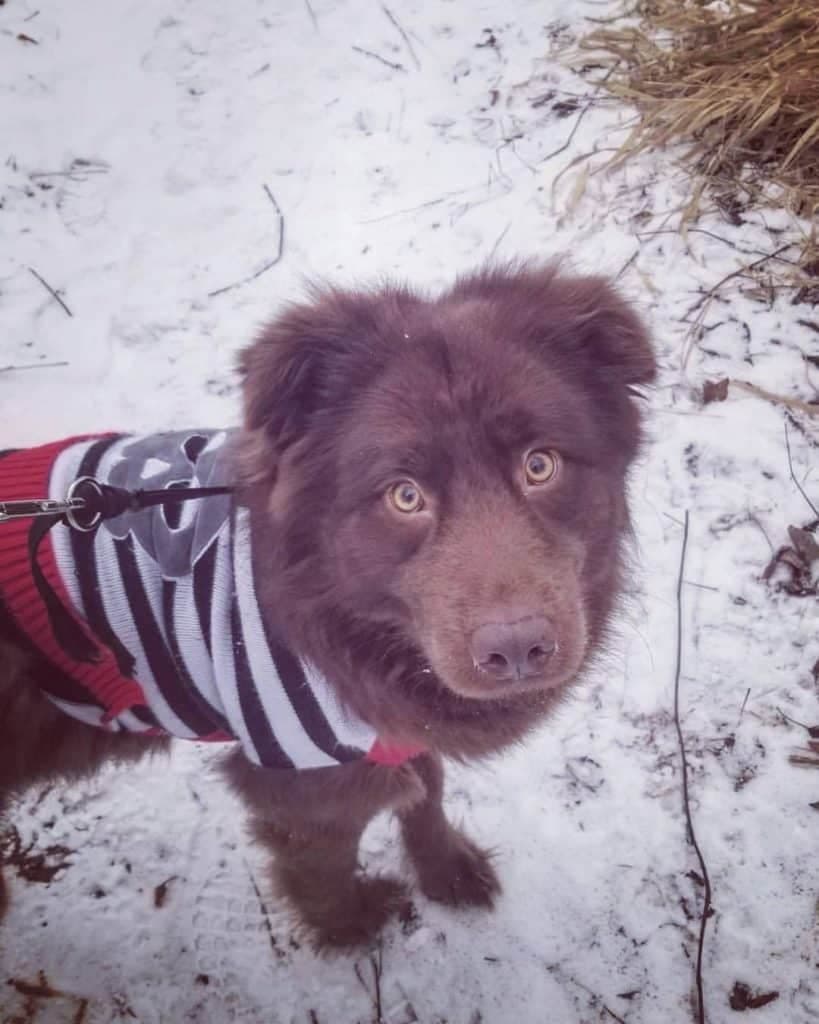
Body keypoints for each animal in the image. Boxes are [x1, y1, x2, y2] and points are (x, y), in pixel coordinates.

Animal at [0, 260, 651, 946]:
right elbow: (326, 862)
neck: (346, 616)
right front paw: (351, 927)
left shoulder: (393, 727)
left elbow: (428, 792)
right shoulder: (303, 777)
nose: (518, 649)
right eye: (405, 496)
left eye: (540, 465)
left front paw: (444, 868)